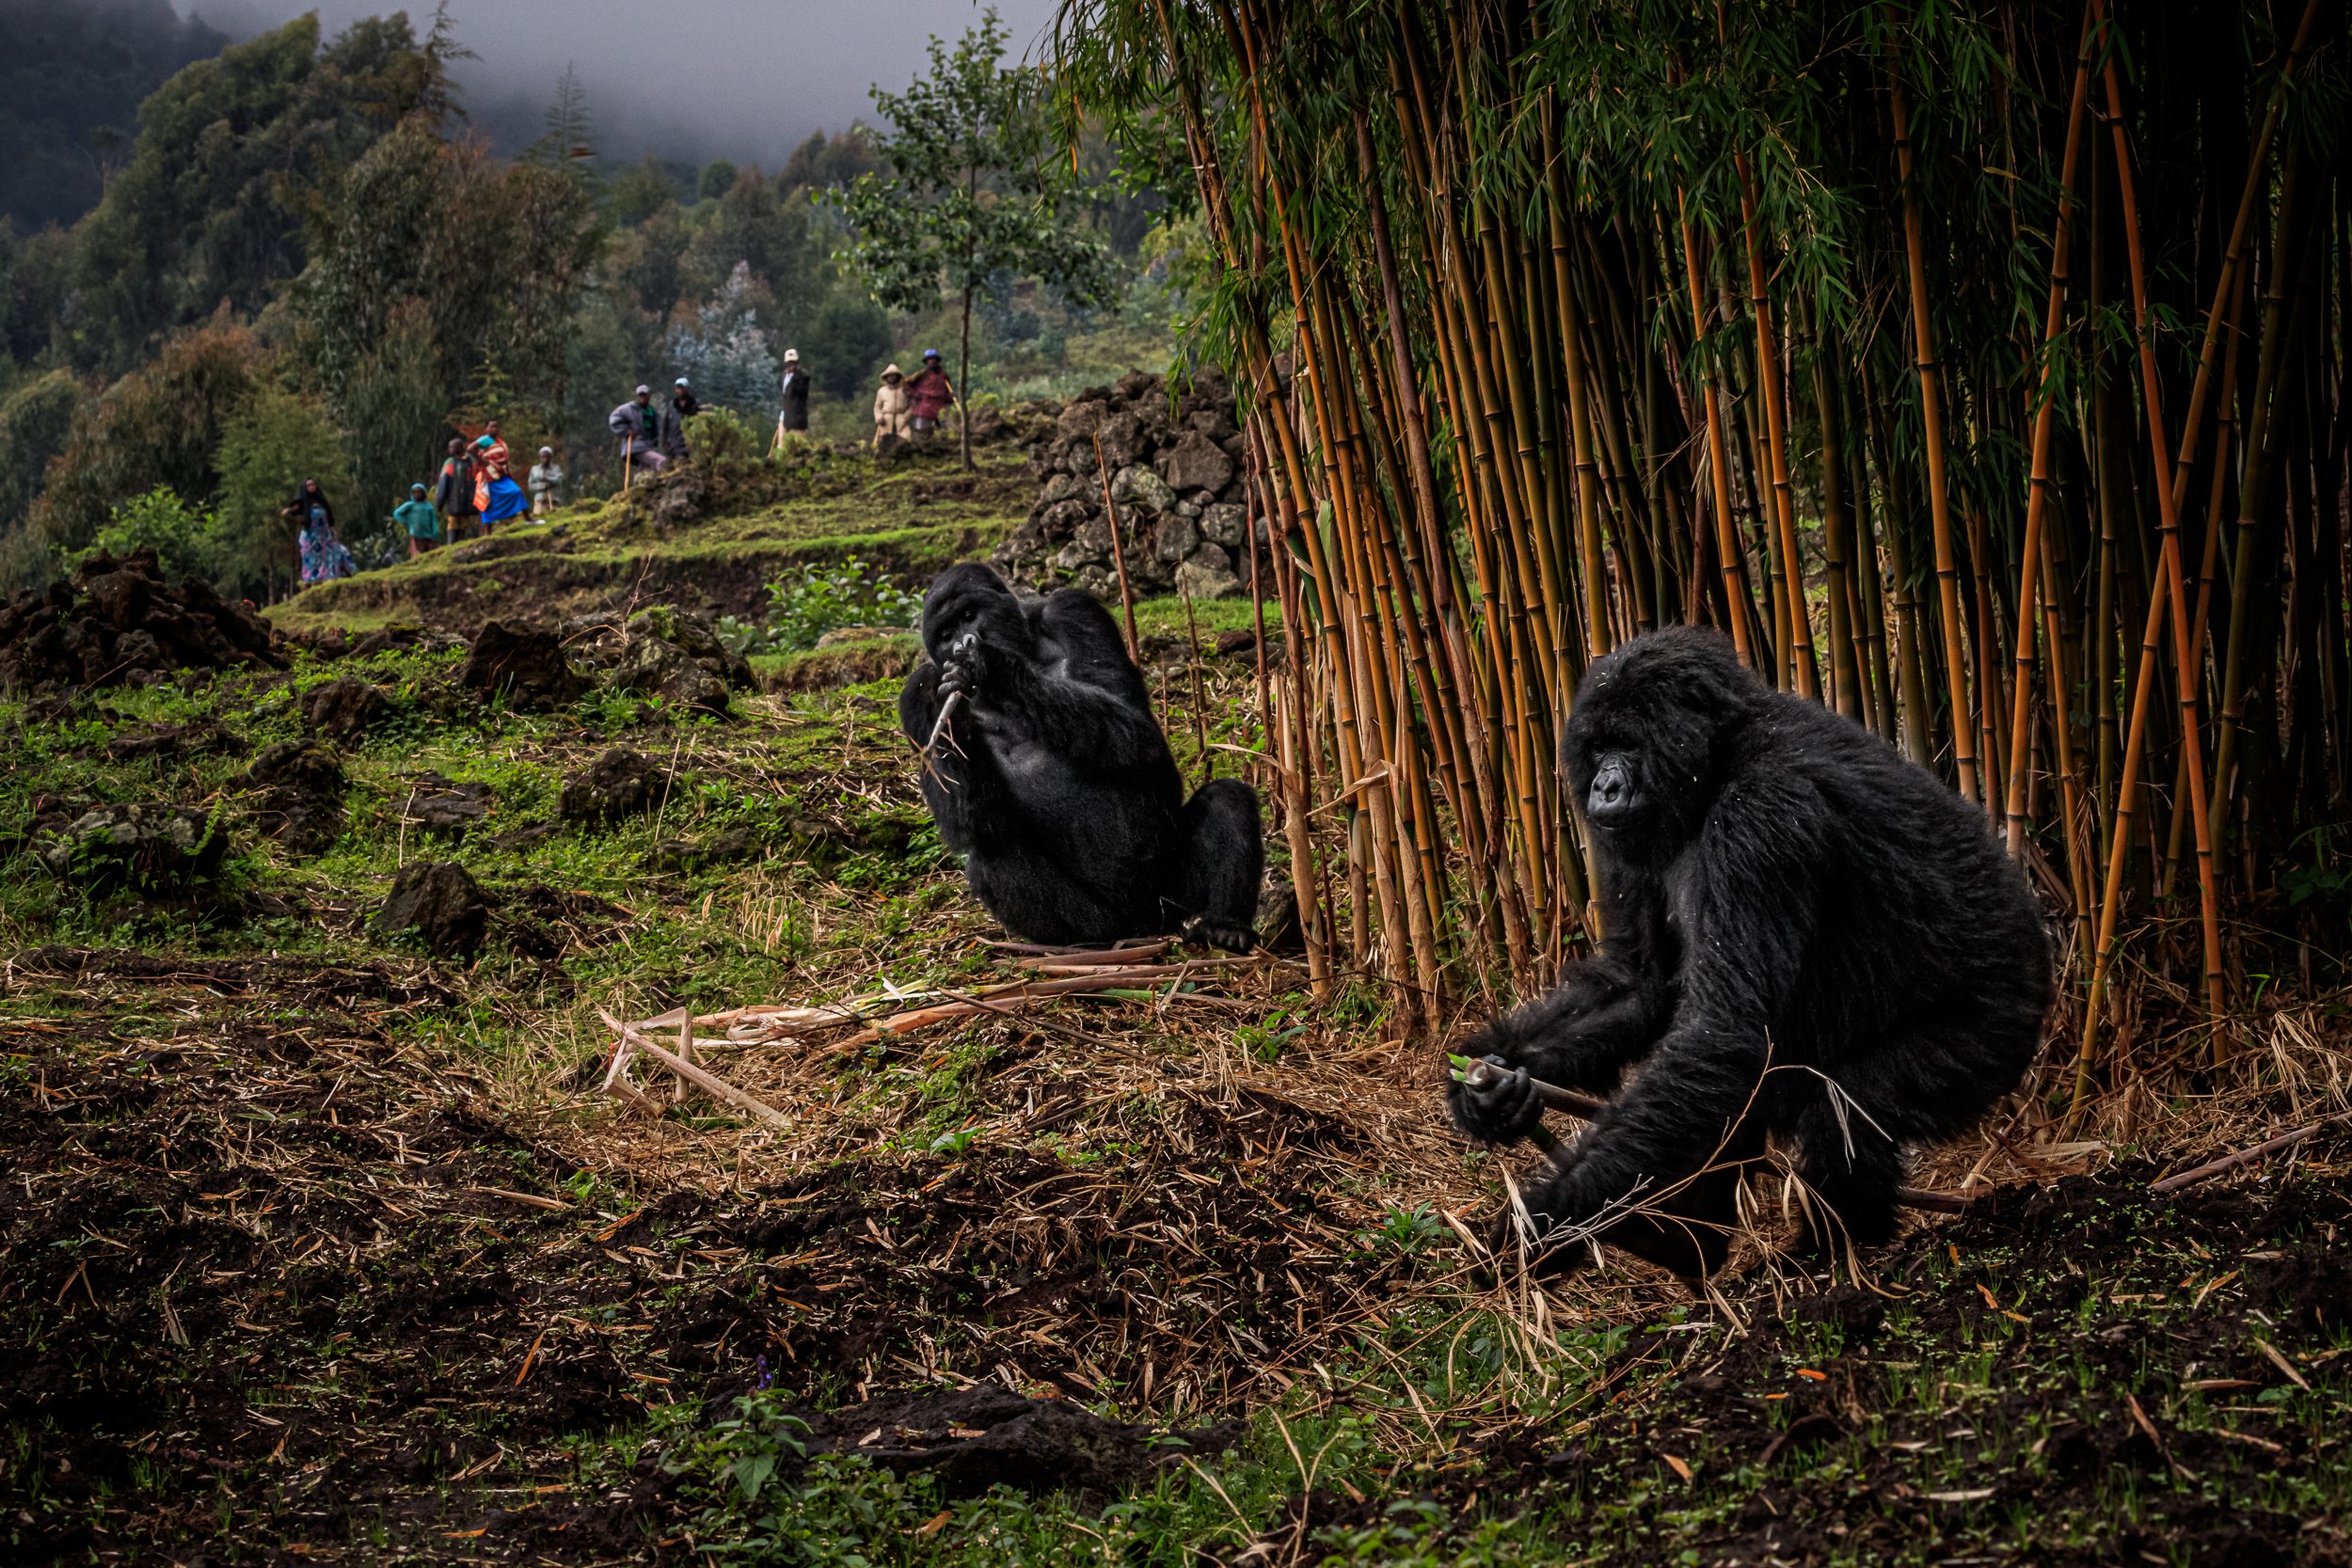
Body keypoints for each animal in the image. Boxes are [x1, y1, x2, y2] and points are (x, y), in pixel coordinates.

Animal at [898, 563, 1270, 958]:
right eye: (945, 634)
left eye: (970, 615)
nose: (961, 644)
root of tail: (1147, 926)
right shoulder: (915, 692)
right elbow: (971, 823)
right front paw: (946, 707)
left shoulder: (1075, 610)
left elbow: (1137, 731)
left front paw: (993, 667)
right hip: (1113, 920)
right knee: (991, 854)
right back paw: (1088, 943)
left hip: (1170, 902)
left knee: (1227, 797)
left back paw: (1225, 926)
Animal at [1439, 625, 2051, 1278]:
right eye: (1598, 748)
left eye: (1627, 744)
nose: (1605, 785)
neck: (1717, 762)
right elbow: (1643, 984)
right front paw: (1491, 1085)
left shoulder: (1761, 821)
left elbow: (1724, 1033)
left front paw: (1548, 1218)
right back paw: (1691, 1244)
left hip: (1991, 1036)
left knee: (1847, 1107)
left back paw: (1831, 1257)